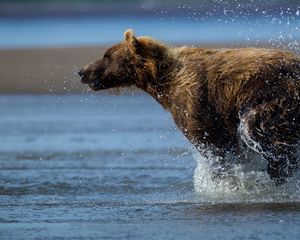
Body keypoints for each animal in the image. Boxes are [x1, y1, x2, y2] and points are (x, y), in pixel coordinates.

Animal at [78, 29, 298, 185]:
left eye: (107, 55)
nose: (82, 71)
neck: (162, 80)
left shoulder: (194, 101)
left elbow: (213, 144)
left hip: (273, 96)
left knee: (261, 130)